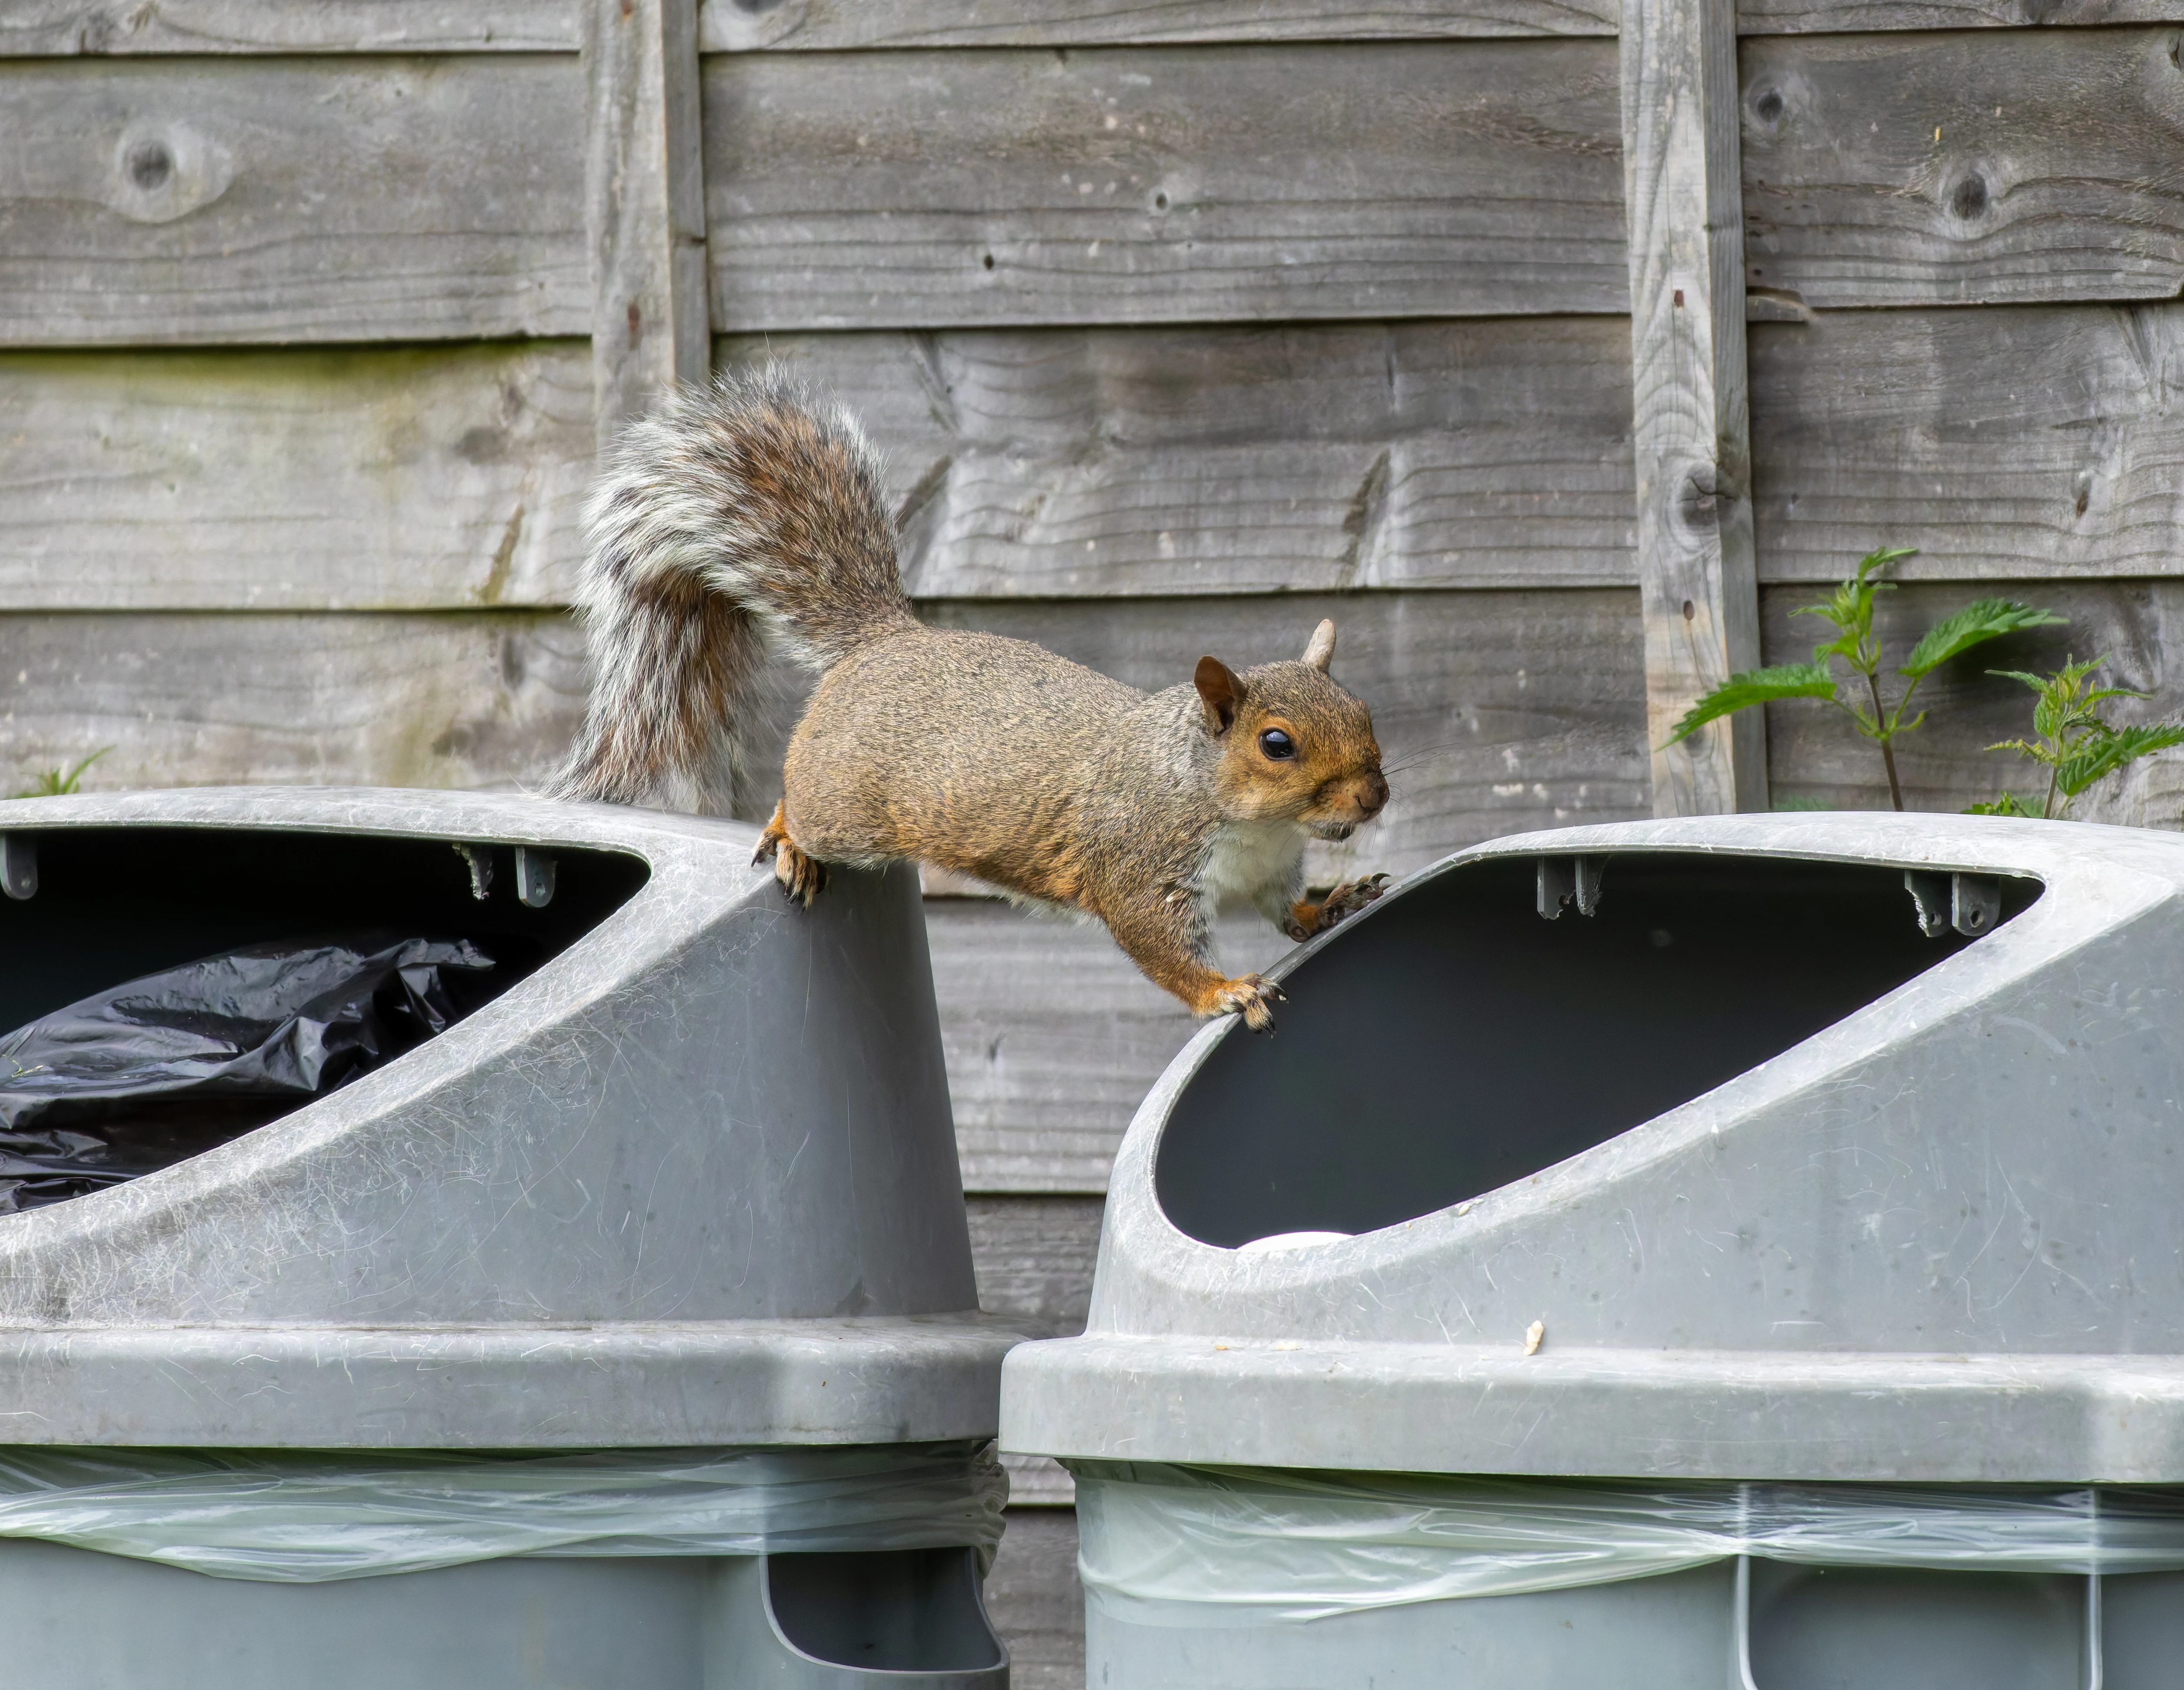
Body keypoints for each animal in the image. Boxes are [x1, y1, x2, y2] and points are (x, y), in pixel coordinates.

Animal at [549, 370, 1390, 1031]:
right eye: (1276, 744)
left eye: (1364, 712)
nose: (1375, 796)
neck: (1248, 821)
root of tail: (887, 643)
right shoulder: (1139, 868)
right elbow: (1160, 948)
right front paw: (1225, 991)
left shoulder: (1269, 870)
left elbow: (1287, 910)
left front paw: (1331, 903)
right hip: (845, 805)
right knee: (801, 803)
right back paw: (789, 839)